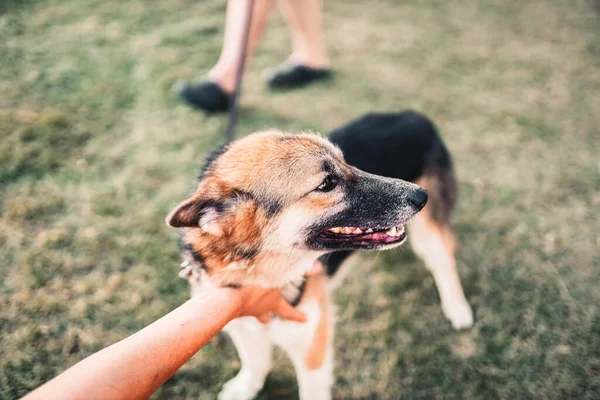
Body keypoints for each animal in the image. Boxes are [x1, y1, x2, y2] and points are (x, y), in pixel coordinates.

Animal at [166, 110, 472, 400]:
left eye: (348, 163)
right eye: (326, 184)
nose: (422, 196)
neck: (263, 275)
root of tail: (415, 116)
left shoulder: (312, 348)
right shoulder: (243, 324)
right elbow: (255, 362)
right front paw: (247, 387)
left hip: (430, 234)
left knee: (444, 263)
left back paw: (457, 308)